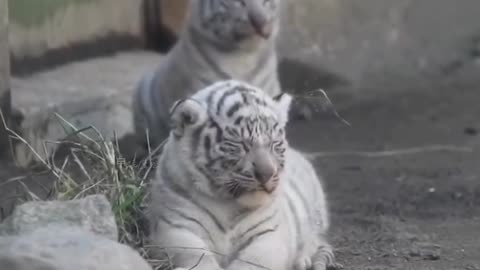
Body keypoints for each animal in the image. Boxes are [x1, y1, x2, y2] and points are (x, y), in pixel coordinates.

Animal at [148, 80, 340, 270]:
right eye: (240, 144)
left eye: (274, 143)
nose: (267, 174)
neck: (226, 204)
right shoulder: (175, 227)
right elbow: (197, 256)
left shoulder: (270, 235)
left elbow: (252, 262)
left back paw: (303, 261)